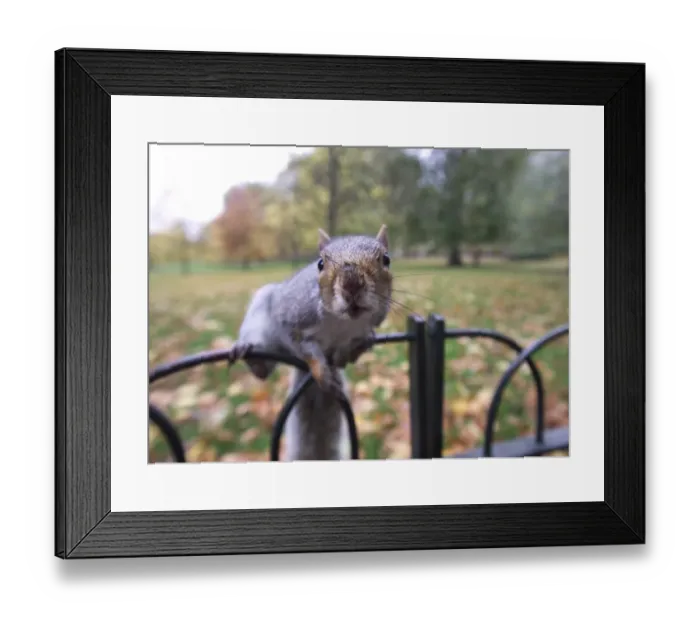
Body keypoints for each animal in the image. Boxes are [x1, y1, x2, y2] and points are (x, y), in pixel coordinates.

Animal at [227, 225, 393, 460]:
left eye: (386, 259)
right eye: (320, 263)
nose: (351, 284)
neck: (341, 321)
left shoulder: (369, 328)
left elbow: (361, 342)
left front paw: (346, 354)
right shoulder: (292, 323)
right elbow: (306, 350)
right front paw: (322, 372)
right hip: (263, 318)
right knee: (263, 370)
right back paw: (250, 354)